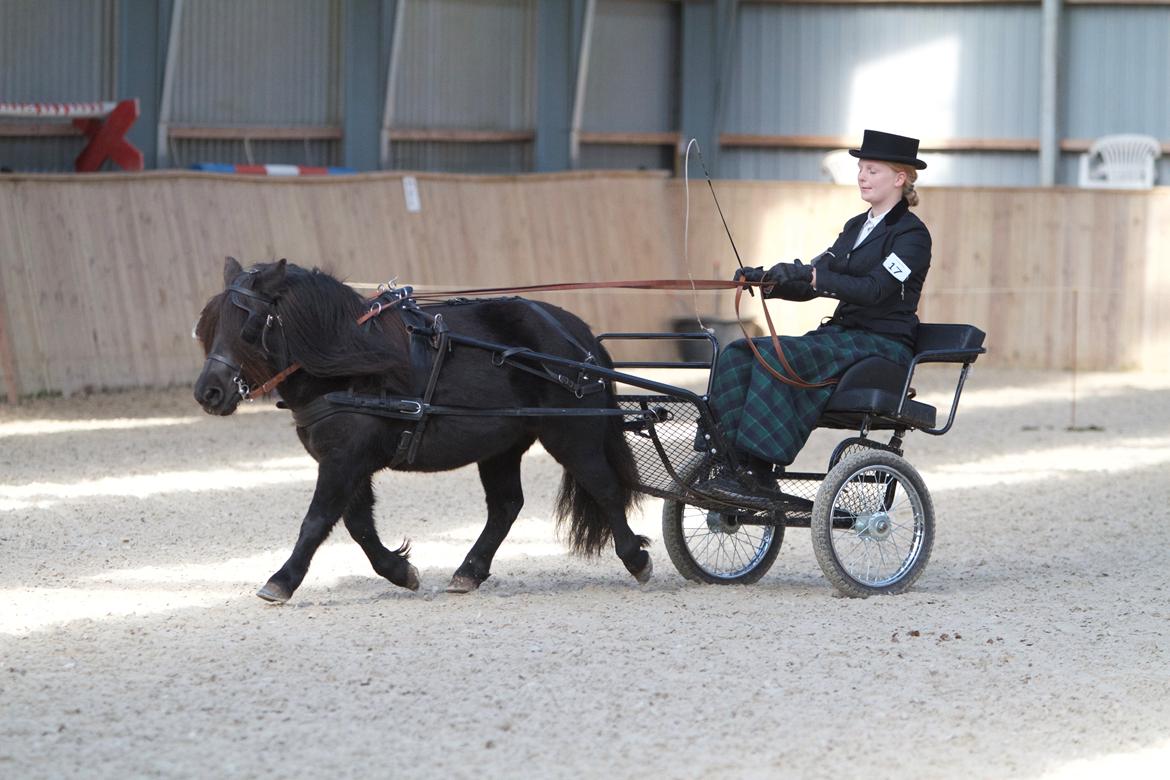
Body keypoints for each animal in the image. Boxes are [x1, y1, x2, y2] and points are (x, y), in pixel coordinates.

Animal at [193, 259, 650, 603]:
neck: (349, 359)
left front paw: (281, 581)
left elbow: (317, 520)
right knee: (506, 506)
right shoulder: (349, 462)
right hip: (500, 446)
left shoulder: (343, 461)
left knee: (605, 488)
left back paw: (636, 559)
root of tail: (579, 336)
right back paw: (468, 572)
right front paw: (400, 571)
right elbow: (358, 524)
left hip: (571, 433)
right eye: (208, 325)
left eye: (247, 325)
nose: (207, 392)